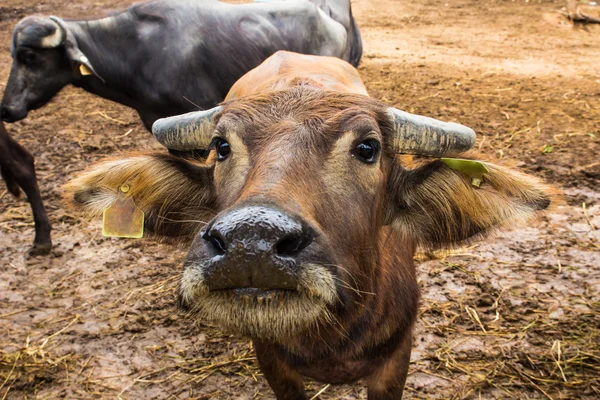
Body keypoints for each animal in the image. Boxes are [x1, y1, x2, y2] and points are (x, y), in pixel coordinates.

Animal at [64, 51, 548, 398]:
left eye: (368, 148)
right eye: (221, 146)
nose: (251, 241)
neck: (333, 336)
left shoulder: (397, 360)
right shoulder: (273, 361)